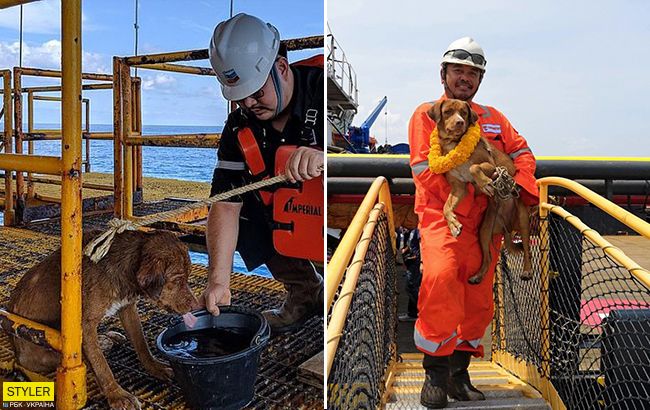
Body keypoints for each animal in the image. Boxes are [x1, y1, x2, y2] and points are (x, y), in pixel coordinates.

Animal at [7, 229, 199, 408]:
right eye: (178, 279)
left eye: (188, 276)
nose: (196, 305)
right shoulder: (85, 324)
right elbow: (101, 365)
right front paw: (117, 395)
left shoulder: (127, 308)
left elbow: (141, 343)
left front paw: (155, 367)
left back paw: (107, 338)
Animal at [426, 99, 532, 284]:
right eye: (448, 111)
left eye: (464, 112)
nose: (460, 122)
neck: (454, 143)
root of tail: (506, 225)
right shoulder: (458, 187)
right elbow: (446, 207)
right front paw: (453, 224)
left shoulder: (491, 166)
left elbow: (474, 167)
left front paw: (485, 183)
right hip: (483, 231)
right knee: (488, 258)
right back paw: (477, 276)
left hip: (523, 222)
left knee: (527, 250)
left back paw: (527, 271)